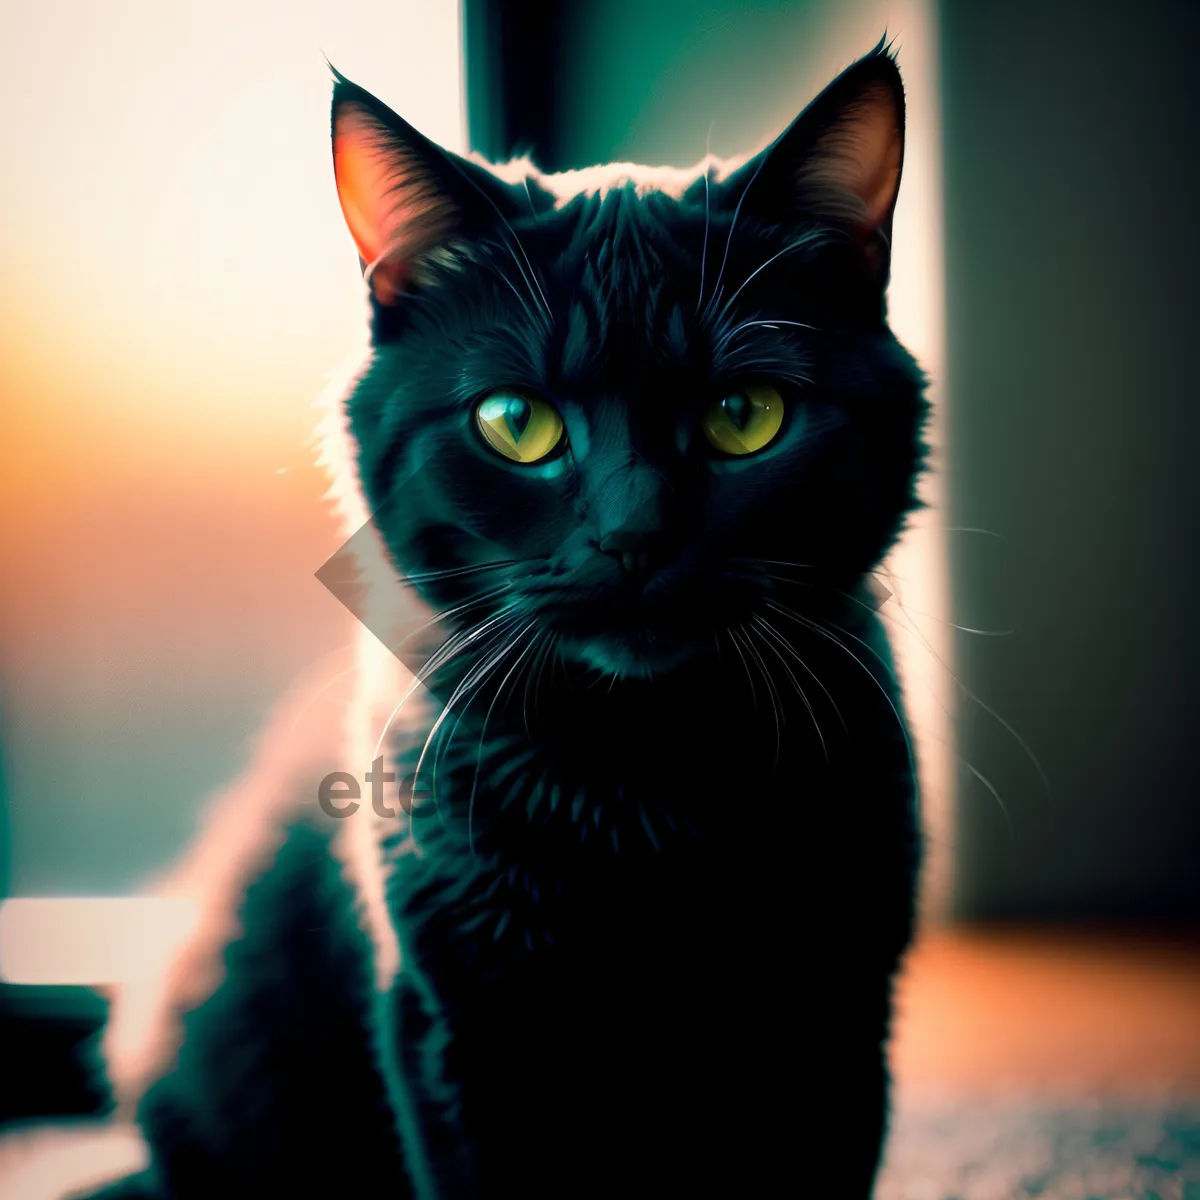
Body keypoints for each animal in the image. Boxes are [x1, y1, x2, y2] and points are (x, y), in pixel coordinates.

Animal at [88, 37, 921, 1200]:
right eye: (515, 424)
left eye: (744, 415)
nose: (633, 537)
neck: (642, 777)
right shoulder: (459, 1026)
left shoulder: (836, 1015)